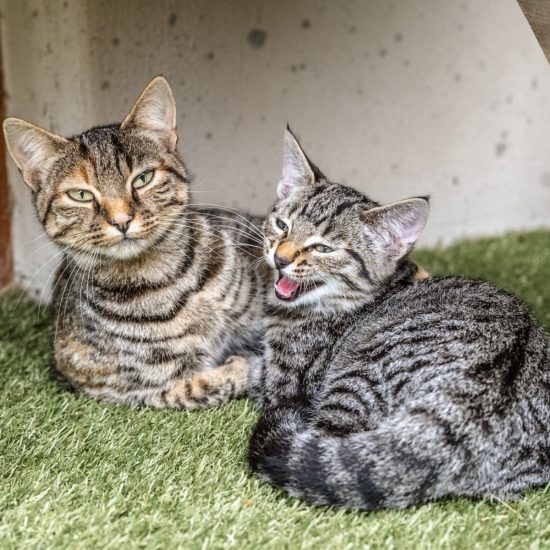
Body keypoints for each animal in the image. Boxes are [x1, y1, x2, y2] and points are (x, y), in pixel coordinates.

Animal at [2, 77, 266, 410]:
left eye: (143, 178)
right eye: (80, 195)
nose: (121, 220)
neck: (163, 280)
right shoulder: (132, 387)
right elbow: (204, 386)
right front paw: (243, 365)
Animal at [249, 128, 550, 508]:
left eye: (323, 248)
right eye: (281, 225)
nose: (281, 258)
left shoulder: (284, 379)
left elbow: (248, 372)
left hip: (360, 374)